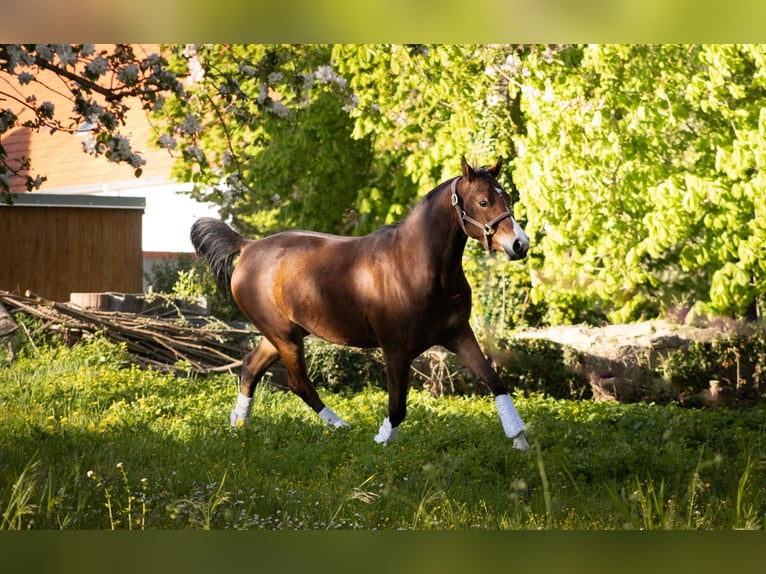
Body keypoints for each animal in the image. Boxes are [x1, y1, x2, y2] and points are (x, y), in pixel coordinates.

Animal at [191, 156, 531, 450]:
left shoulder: (459, 335)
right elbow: (397, 406)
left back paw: (239, 424)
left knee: (251, 366)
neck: (416, 266)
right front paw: (382, 440)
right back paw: (340, 426)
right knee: (298, 382)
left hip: (286, 334)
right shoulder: (395, 350)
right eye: (483, 201)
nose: (520, 244)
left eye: (507, 199)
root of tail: (247, 247)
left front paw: (520, 442)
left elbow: (495, 382)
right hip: (284, 337)